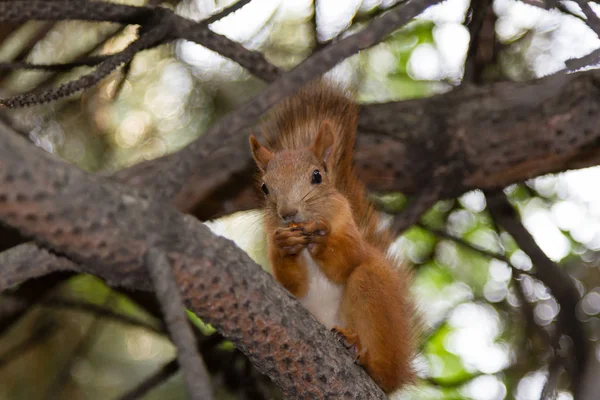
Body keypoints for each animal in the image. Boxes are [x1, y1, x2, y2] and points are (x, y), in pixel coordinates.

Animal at [250, 79, 418, 392]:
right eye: (265, 187)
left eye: (317, 176)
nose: (288, 213)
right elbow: (292, 283)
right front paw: (286, 245)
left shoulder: (348, 229)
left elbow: (347, 260)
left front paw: (323, 238)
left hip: (374, 291)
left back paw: (363, 355)